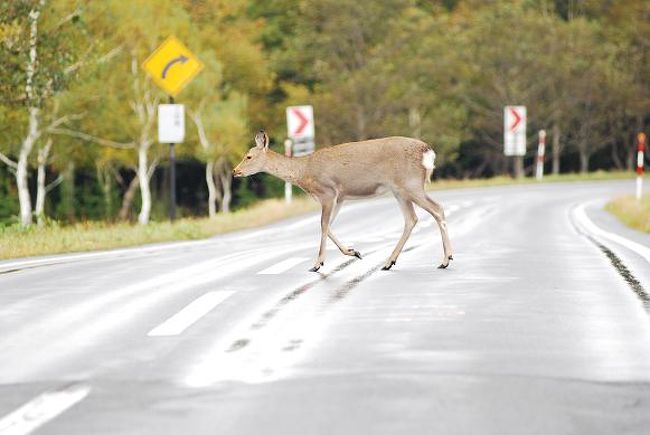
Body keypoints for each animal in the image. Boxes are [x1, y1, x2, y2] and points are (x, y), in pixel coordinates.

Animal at [233, 130, 450, 272]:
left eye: (248, 156)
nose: (235, 171)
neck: (303, 171)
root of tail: (427, 152)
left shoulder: (327, 192)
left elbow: (322, 225)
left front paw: (317, 264)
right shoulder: (340, 197)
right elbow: (328, 226)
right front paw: (353, 252)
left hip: (410, 184)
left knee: (437, 209)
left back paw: (446, 259)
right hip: (400, 190)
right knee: (411, 219)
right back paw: (389, 262)